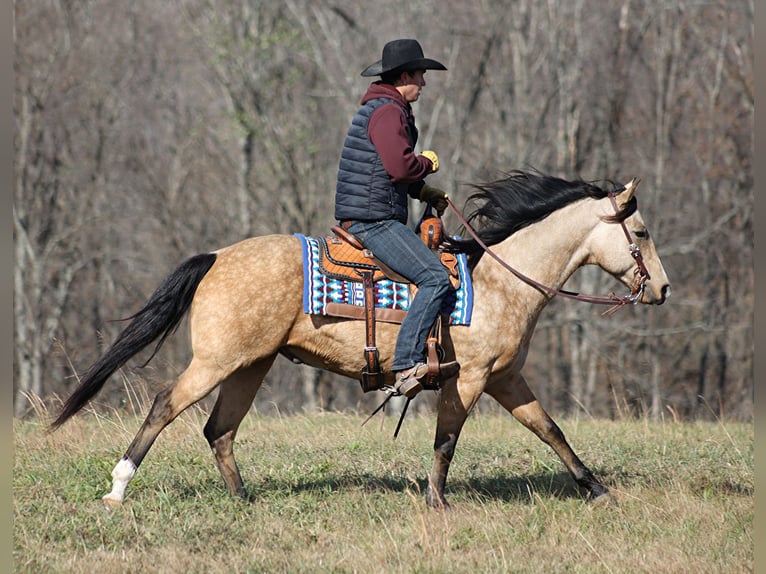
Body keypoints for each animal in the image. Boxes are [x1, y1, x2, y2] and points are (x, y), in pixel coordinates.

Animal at [49, 170, 672, 508]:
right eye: (640, 232)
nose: (662, 288)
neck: (500, 281)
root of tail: (218, 256)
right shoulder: (468, 380)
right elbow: (447, 442)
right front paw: (437, 501)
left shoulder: (506, 378)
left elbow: (551, 430)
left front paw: (598, 490)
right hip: (217, 361)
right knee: (164, 406)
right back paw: (117, 488)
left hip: (250, 365)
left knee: (218, 430)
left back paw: (243, 498)